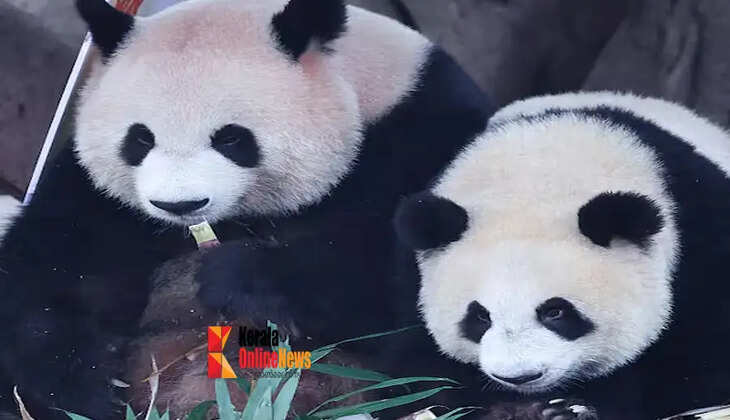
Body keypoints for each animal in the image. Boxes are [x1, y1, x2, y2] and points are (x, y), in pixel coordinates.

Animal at [0, 0, 490, 418]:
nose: (180, 204)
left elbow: (399, 287)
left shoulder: (423, 136)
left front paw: (238, 276)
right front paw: (83, 384)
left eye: (232, 138)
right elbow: (47, 270)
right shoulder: (98, 198)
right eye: (139, 138)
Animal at [394, 91, 730, 419]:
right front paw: (514, 410)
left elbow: (697, 369)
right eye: (480, 316)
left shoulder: (704, 248)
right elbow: (416, 371)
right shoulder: (412, 279)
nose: (520, 377)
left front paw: (575, 408)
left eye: (555, 312)